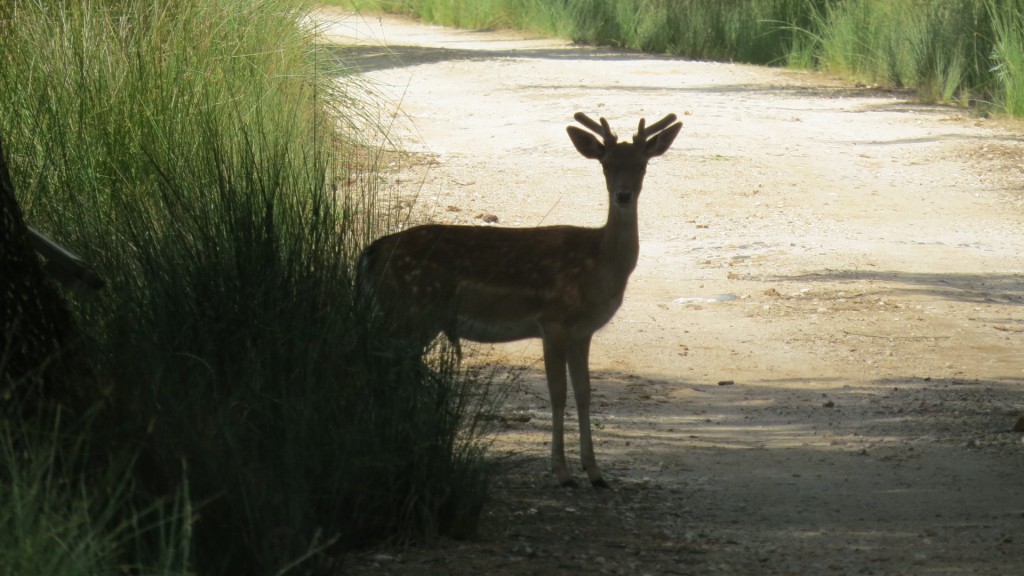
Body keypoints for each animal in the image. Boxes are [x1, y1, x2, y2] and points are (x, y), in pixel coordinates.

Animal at [356, 111, 684, 483]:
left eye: (642, 164)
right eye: (606, 164)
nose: (623, 195)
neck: (598, 266)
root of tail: (371, 252)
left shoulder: (582, 331)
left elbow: (584, 393)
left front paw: (595, 473)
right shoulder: (553, 321)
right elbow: (558, 394)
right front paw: (562, 472)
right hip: (410, 309)